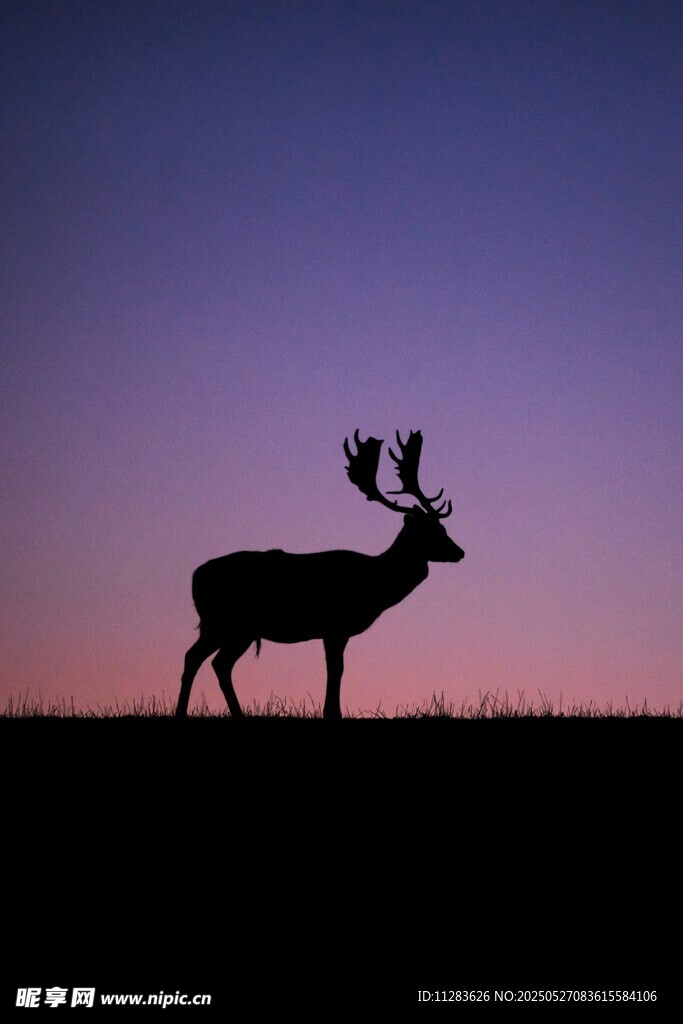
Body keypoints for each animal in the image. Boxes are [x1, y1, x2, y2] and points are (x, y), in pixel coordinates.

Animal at [177, 430, 464, 719]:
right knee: (198, 658)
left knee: (216, 662)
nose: (459, 551)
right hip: (224, 621)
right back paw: (186, 712)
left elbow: (335, 668)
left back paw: (230, 713)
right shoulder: (335, 624)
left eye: (443, 527)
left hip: (235, 628)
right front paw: (333, 713)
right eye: (432, 531)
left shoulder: (336, 630)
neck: (375, 584)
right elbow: (336, 669)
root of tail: (195, 576)